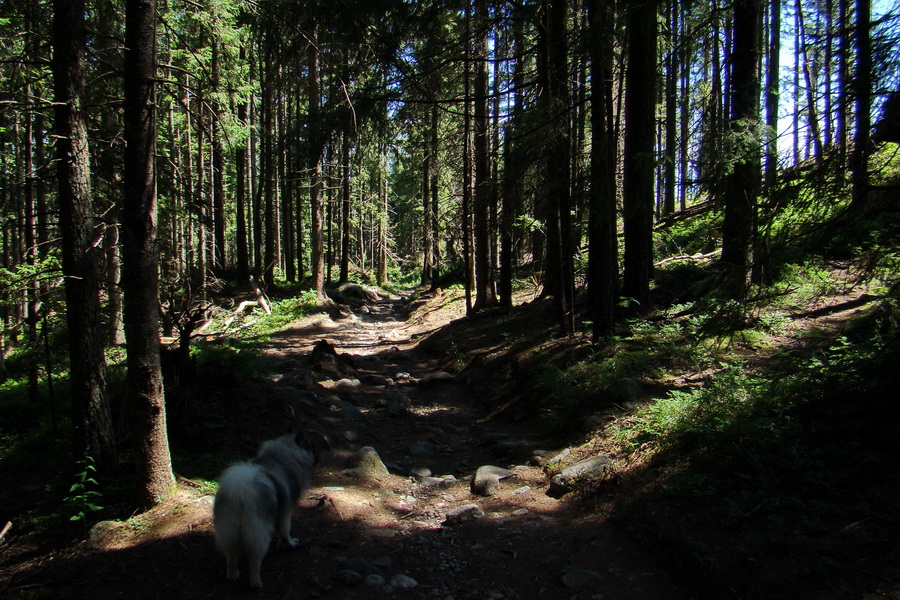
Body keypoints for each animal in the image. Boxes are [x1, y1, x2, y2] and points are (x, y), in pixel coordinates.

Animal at [214, 432, 318, 592]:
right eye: (310, 446)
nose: (318, 457)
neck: (284, 456)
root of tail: (242, 491)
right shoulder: (286, 512)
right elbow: (285, 532)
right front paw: (291, 544)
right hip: (259, 533)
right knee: (255, 561)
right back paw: (256, 583)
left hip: (228, 530)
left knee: (231, 556)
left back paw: (233, 574)